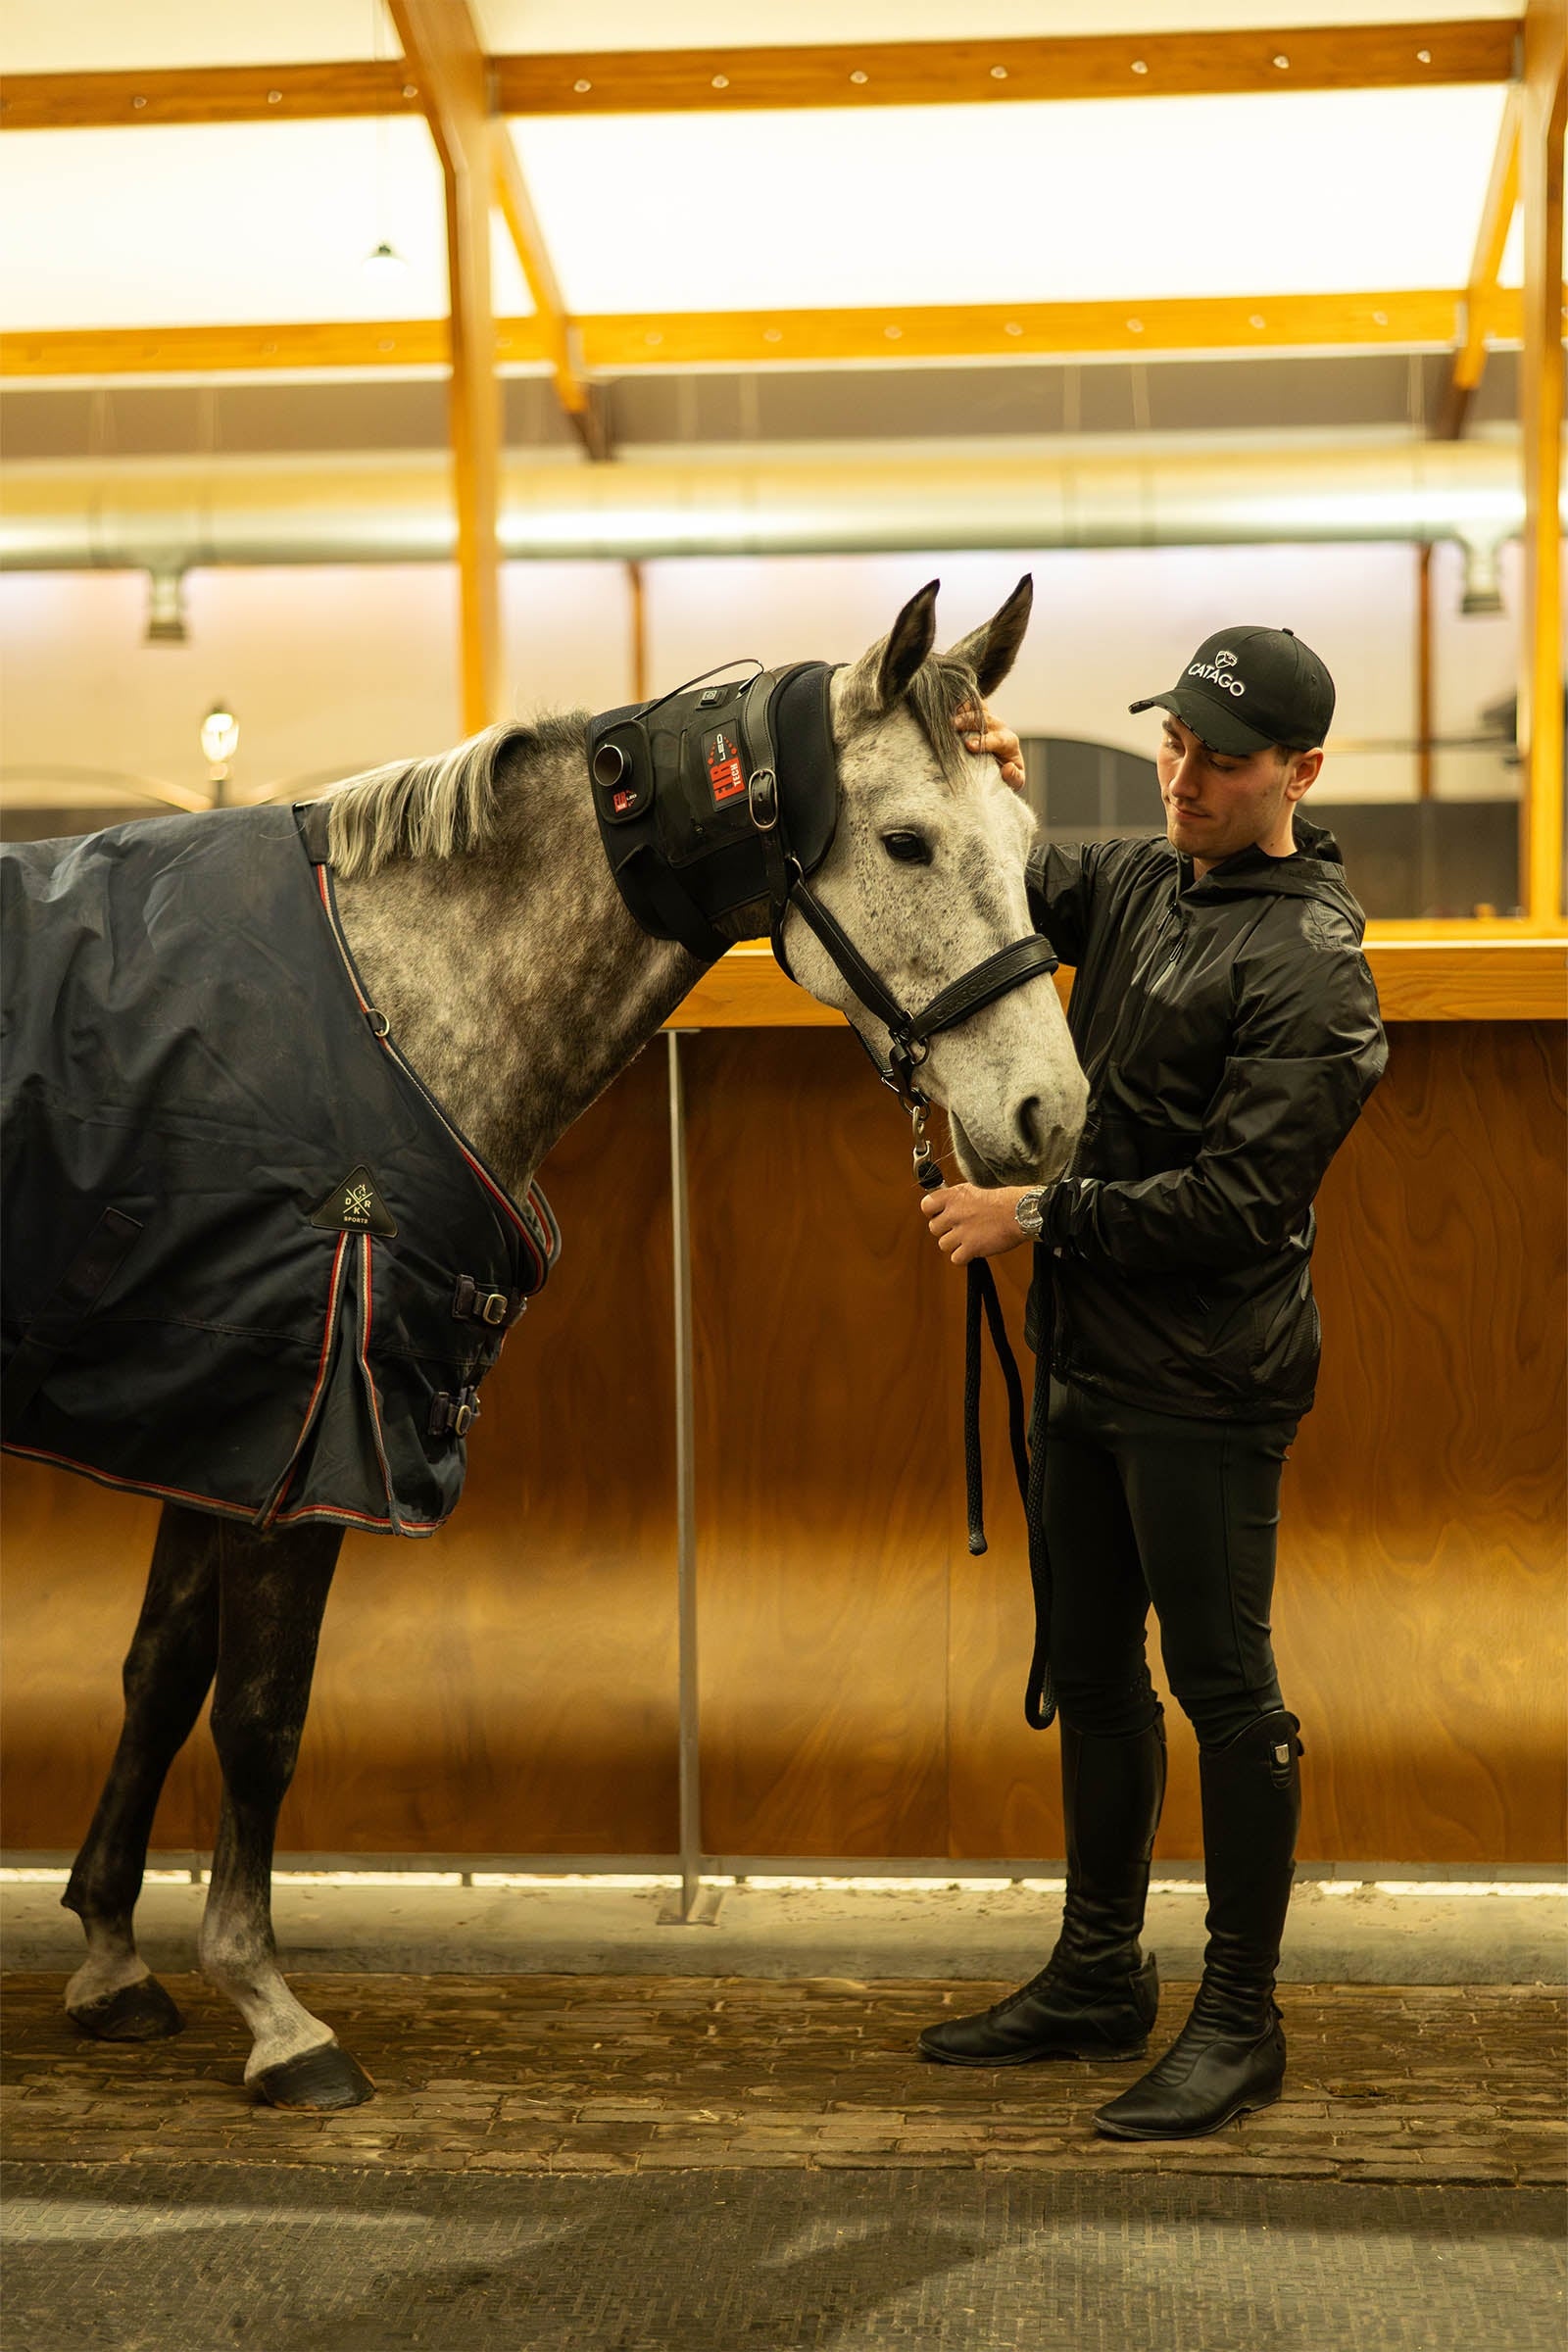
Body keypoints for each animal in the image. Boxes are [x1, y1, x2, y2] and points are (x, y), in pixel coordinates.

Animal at [13, 576, 1087, 2109]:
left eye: (1024, 838)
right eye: (907, 841)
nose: (1054, 1114)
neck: (389, 1003)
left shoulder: (224, 1415)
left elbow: (160, 1676)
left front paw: (109, 1955)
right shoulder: (308, 1430)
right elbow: (259, 1715)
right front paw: (273, 2011)